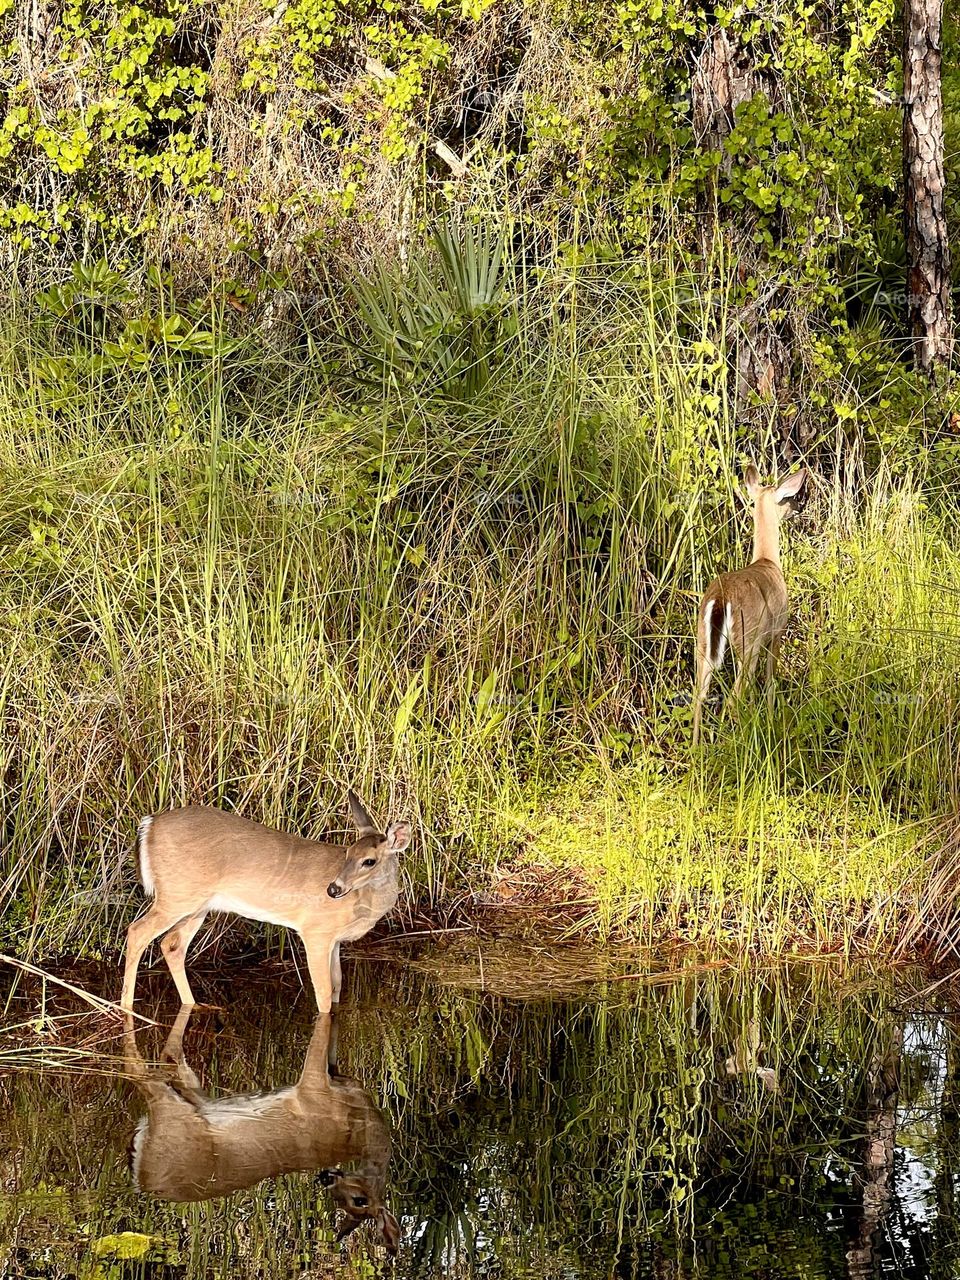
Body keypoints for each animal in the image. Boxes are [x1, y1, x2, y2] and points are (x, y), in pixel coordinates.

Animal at [120, 791, 411, 1013]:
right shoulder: (315, 931)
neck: (364, 903)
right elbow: (324, 991)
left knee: (171, 944)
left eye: (368, 860)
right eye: (347, 853)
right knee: (137, 931)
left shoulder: (336, 940)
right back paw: (126, 1008)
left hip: (197, 905)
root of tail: (149, 824)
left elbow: (338, 985)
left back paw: (197, 1006)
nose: (333, 888)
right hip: (176, 895)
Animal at [124, 1008, 401, 1253]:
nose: (325, 1177)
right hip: (170, 1111)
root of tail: (142, 1178)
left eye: (357, 1201)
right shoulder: (313, 1086)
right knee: (139, 1068)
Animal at [692, 464, 807, 744]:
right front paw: (771, 718)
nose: (799, 506)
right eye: (787, 497)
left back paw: (698, 749)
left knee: (699, 695)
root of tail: (722, 598)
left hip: (702, 640)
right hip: (749, 639)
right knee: (734, 697)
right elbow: (770, 680)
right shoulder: (777, 630)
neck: (767, 559)